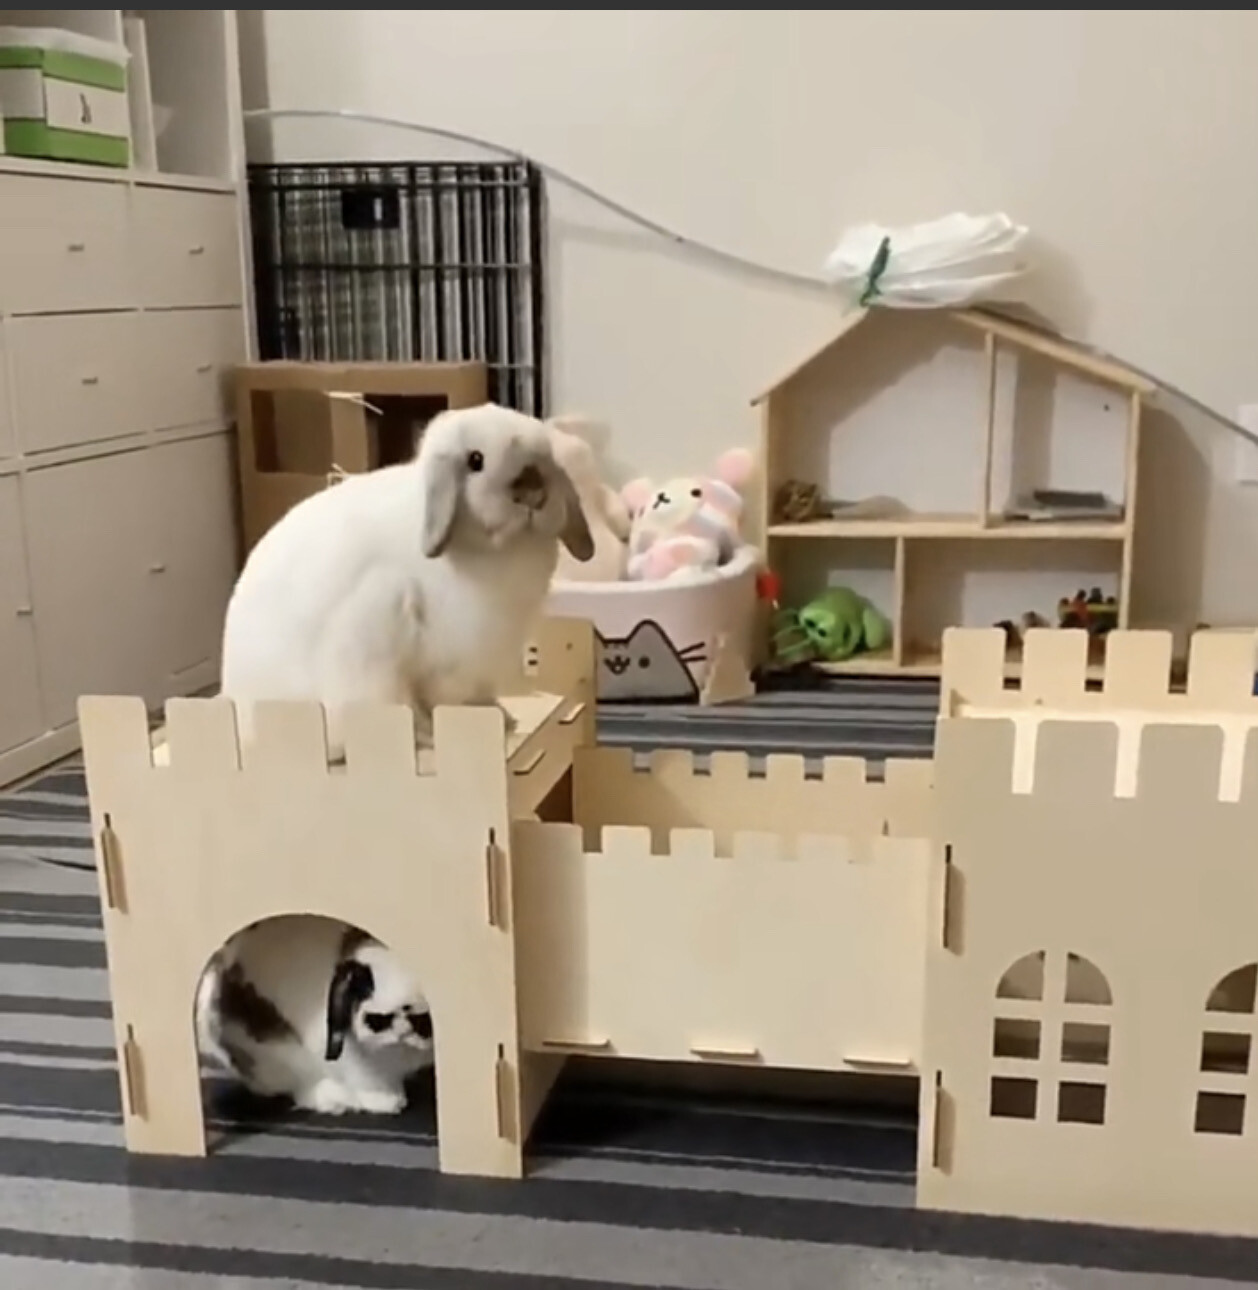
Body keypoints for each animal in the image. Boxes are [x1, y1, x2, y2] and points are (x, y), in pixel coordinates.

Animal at [195, 915, 434, 1115]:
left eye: (423, 1022)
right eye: (377, 1020)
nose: (403, 1033)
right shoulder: (346, 1058)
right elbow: (367, 1081)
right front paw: (389, 1102)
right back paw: (336, 1101)